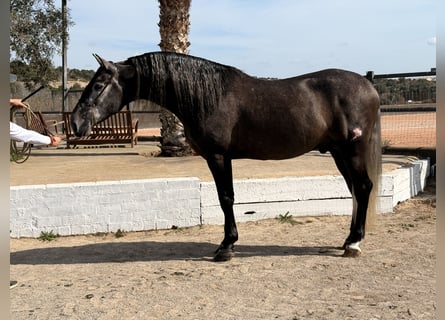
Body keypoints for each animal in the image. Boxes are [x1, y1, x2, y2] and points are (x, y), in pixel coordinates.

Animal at [71, 52, 380, 260]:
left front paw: (226, 246)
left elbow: (226, 198)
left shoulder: (218, 156)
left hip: (352, 150)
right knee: (355, 190)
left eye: (98, 85)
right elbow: (227, 197)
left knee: (363, 187)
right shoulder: (221, 157)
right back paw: (348, 240)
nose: (75, 122)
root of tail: (368, 86)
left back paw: (354, 244)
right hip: (339, 152)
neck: (210, 96)